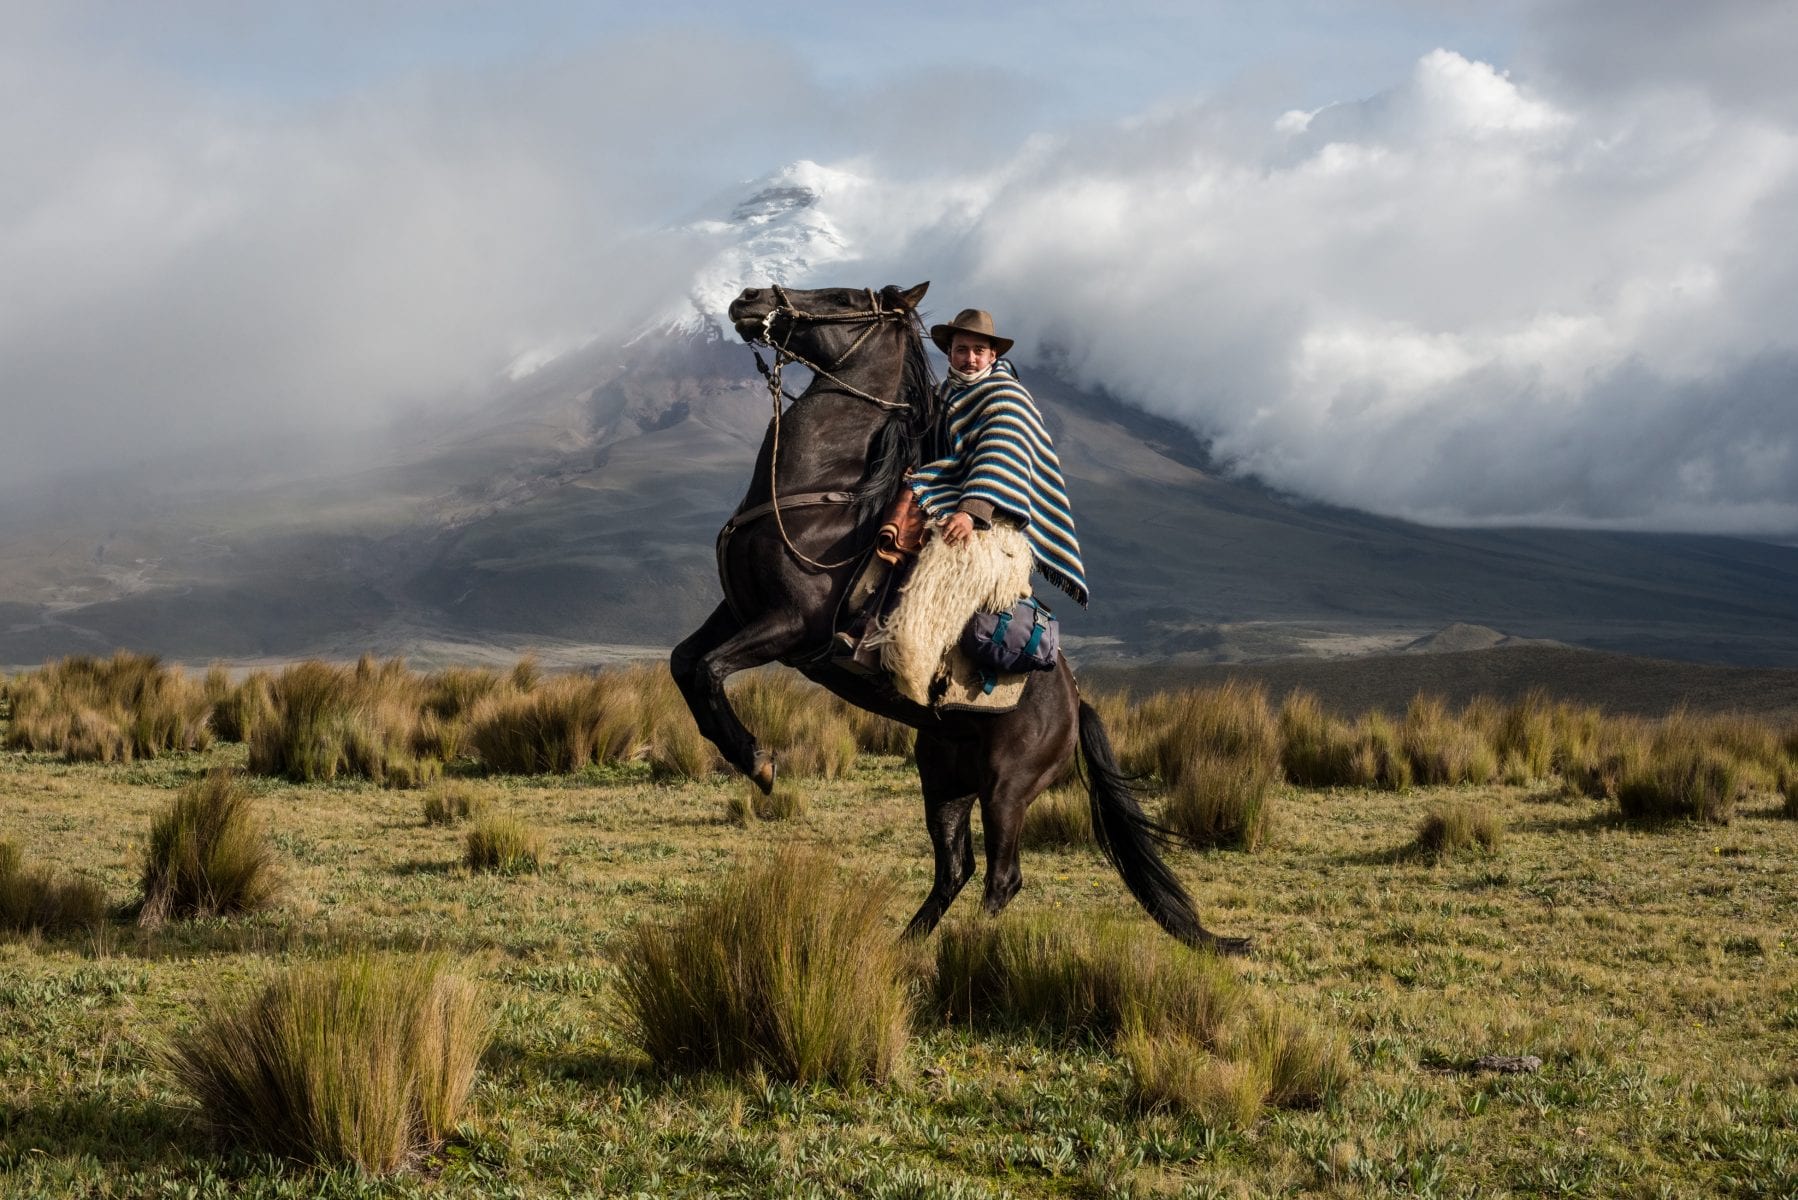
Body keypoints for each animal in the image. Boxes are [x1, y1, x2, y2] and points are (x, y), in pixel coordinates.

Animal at [665, 282, 1251, 957]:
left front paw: (758, 763)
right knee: (955, 868)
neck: (823, 494)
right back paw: (903, 950)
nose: (749, 298)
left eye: (844, 297)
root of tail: (1075, 701)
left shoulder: (790, 625)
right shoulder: (737, 610)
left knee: (1002, 876)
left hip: (1006, 787)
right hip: (943, 776)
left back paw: (969, 949)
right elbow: (686, 665)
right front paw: (742, 753)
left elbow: (710, 670)